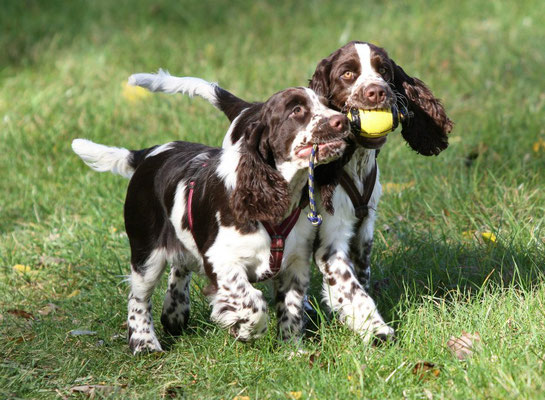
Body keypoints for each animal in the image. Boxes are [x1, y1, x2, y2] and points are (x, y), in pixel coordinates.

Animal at [72, 87, 348, 354]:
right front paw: (244, 329)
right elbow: (253, 302)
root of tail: (149, 154)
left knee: (179, 267)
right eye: (297, 110)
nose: (342, 121)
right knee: (138, 298)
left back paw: (174, 313)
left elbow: (291, 309)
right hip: (145, 251)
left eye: (327, 104)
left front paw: (292, 350)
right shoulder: (221, 259)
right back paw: (144, 344)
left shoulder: (295, 263)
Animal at [127, 40, 450, 340]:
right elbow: (351, 288)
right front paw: (376, 330)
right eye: (347, 74)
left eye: (383, 71)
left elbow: (358, 281)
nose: (377, 92)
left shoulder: (362, 231)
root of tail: (247, 109)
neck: (354, 162)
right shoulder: (329, 241)